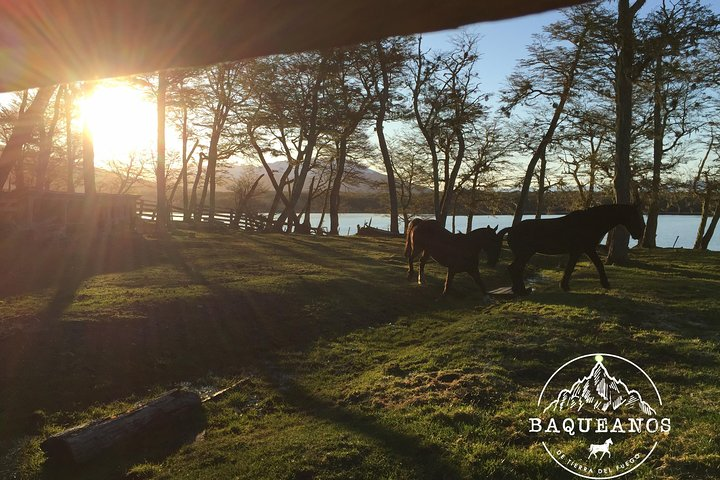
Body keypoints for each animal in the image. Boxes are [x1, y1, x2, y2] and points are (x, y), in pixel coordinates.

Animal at [498, 202, 644, 292]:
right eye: (636, 216)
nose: (639, 233)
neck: (591, 222)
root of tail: (511, 229)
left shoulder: (579, 251)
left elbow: (571, 268)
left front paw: (564, 285)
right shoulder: (586, 249)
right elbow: (596, 265)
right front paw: (605, 284)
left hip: (524, 254)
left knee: (516, 269)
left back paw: (519, 289)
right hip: (525, 254)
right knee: (515, 268)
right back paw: (521, 290)